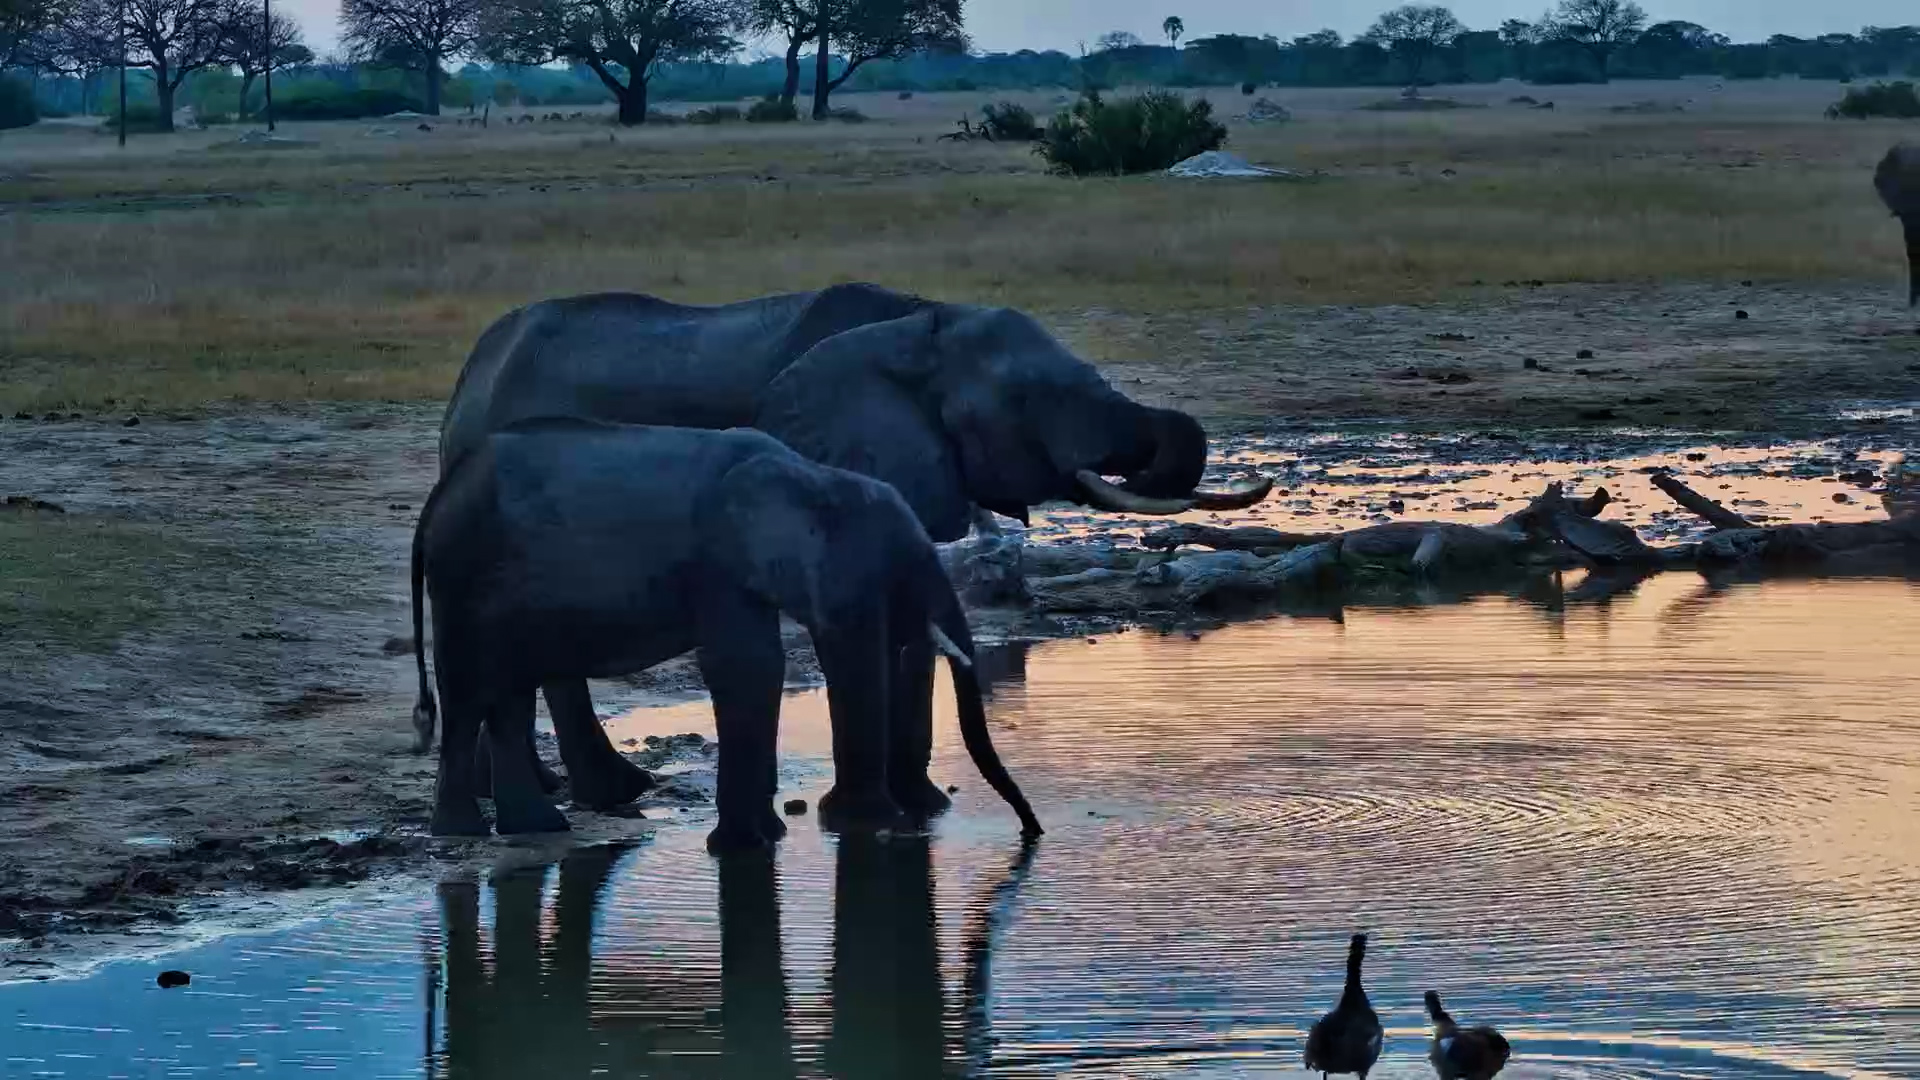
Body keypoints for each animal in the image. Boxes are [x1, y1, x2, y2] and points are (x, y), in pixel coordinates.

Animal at [410, 418, 1043, 847]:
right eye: (904, 564)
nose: (1032, 831)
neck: (813, 475)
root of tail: (437, 498)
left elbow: (768, 663)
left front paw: (779, 837)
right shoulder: (717, 562)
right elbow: (750, 664)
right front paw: (766, 842)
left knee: (507, 697)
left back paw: (534, 831)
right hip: (465, 583)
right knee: (469, 696)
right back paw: (467, 834)